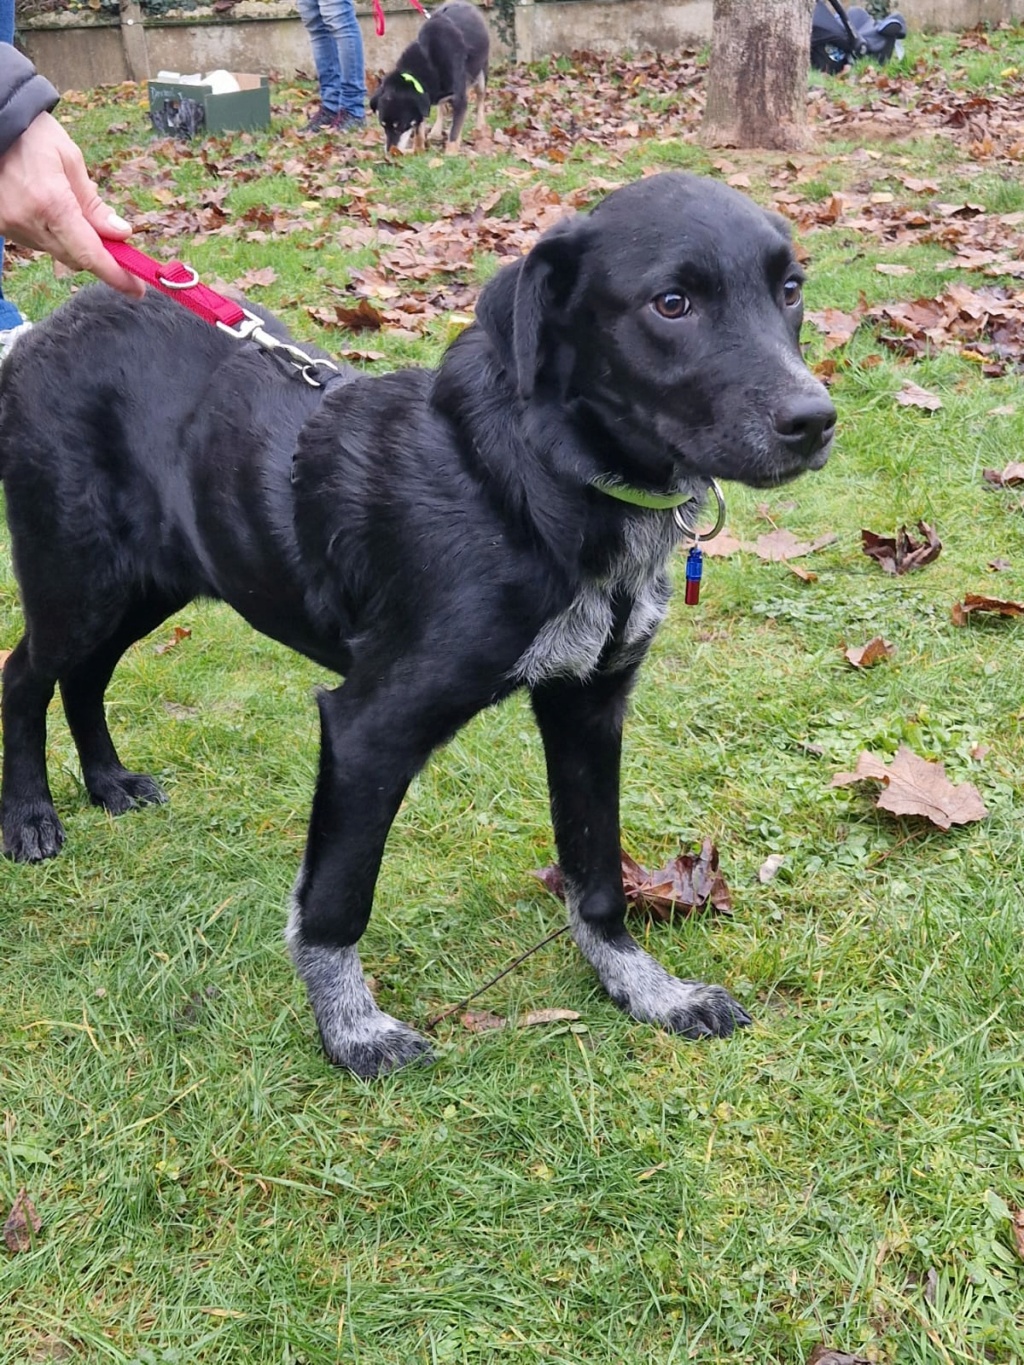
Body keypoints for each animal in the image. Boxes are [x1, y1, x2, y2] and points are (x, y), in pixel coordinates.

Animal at [0, 174, 835, 1077]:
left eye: (790, 289)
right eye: (671, 303)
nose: (815, 420)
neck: (540, 479)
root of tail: (43, 332)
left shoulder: (589, 704)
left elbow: (596, 871)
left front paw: (646, 989)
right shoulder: (370, 726)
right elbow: (337, 898)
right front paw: (352, 1029)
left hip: (150, 583)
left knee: (85, 675)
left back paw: (109, 781)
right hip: (76, 578)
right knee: (26, 673)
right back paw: (30, 815)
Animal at [369, 0, 489, 155]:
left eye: (400, 126)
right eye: (383, 125)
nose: (390, 153)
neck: (429, 60)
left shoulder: (459, 98)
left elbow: (454, 131)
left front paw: (451, 153)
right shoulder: (423, 101)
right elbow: (419, 129)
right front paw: (417, 150)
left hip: (481, 76)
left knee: (480, 100)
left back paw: (480, 127)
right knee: (442, 108)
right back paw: (436, 131)